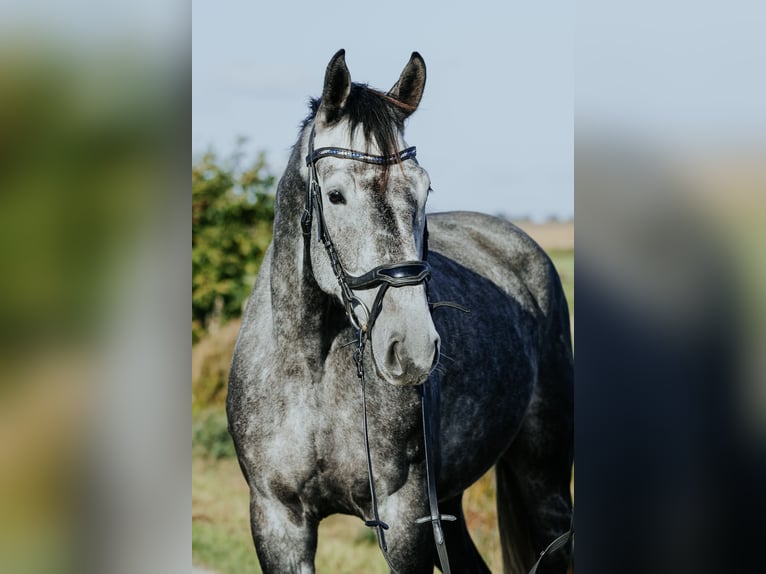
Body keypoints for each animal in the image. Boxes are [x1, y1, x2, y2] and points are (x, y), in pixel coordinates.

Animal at [228, 50, 576, 574]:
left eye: (425, 189)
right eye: (335, 195)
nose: (411, 347)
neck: (312, 369)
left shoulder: (406, 518)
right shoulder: (278, 521)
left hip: (544, 478)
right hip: (449, 501)